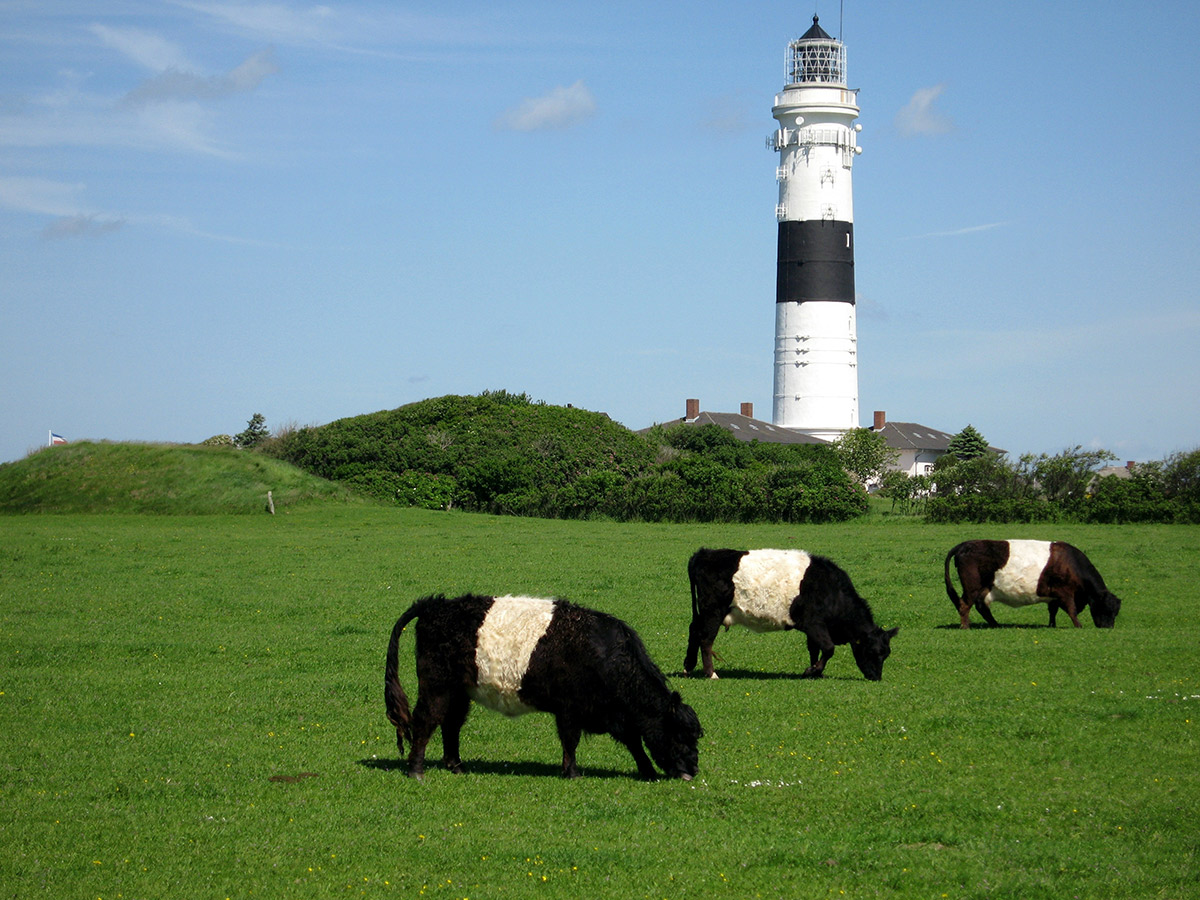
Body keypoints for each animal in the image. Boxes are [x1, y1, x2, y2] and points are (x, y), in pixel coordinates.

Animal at [384, 592, 700, 782]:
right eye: (680, 735)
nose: (693, 770)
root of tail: (435, 605)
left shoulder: (613, 714)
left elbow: (634, 741)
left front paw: (647, 771)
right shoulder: (570, 709)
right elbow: (571, 741)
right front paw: (572, 772)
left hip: (459, 692)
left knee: (451, 724)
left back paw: (457, 766)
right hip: (436, 686)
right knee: (425, 721)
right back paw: (416, 770)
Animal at [686, 549, 902, 681]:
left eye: (887, 653)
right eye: (873, 651)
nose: (876, 677)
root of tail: (704, 553)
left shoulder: (814, 629)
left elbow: (815, 649)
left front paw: (816, 672)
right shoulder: (813, 623)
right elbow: (828, 648)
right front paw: (812, 671)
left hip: (703, 613)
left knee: (694, 631)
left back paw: (688, 667)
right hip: (713, 611)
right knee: (706, 639)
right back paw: (711, 674)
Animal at [945, 540, 1123, 628]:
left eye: (1116, 612)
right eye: (1106, 608)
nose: (1108, 627)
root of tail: (965, 544)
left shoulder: (1054, 596)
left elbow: (1053, 611)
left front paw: (1052, 625)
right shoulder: (1064, 592)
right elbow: (1071, 609)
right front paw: (1078, 626)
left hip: (985, 589)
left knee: (981, 607)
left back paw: (996, 625)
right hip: (972, 586)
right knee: (964, 605)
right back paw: (965, 626)